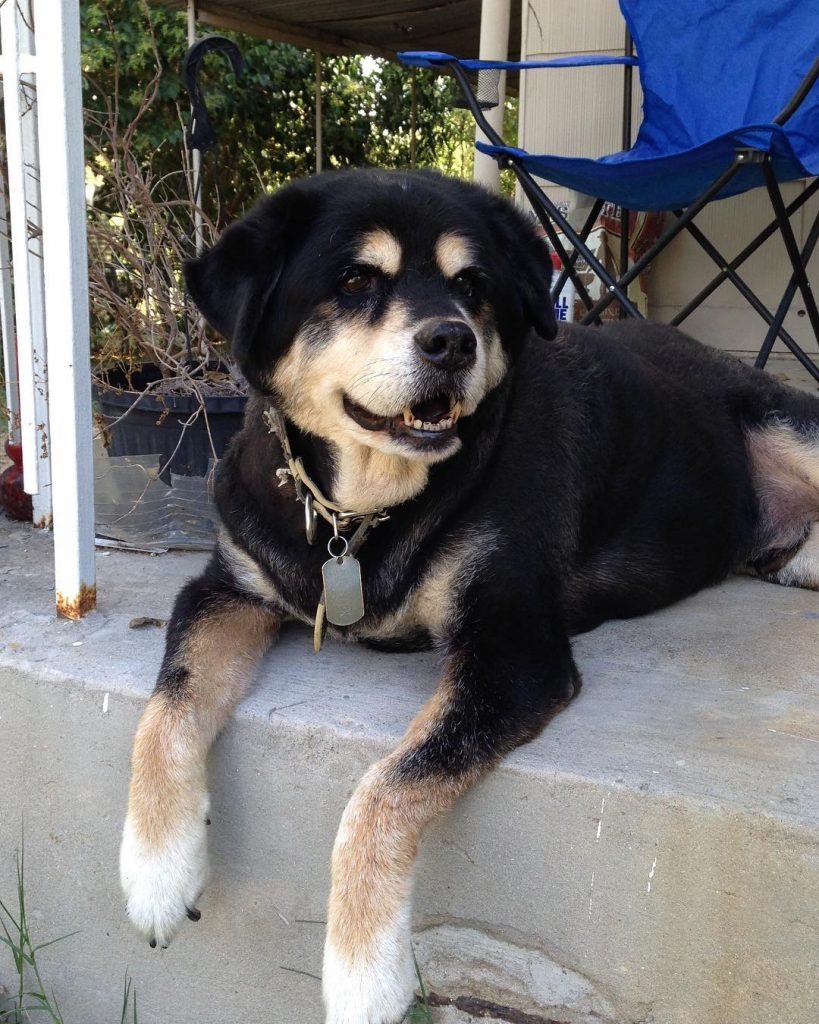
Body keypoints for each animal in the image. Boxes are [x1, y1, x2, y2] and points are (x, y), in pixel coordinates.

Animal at [118, 169, 818, 1024]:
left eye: (471, 286)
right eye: (354, 281)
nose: (451, 341)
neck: (363, 513)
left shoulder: (510, 648)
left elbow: (382, 787)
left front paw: (362, 974)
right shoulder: (227, 589)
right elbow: (167, 708)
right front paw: (155, 872)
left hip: (785, 424)